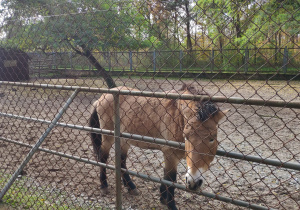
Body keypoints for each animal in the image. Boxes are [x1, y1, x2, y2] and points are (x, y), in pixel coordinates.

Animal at [88, 84, 227, 210]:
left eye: (212, 138)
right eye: (186, 136)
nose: (193, 183)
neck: (177, 116)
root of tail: (102, 97)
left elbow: (166, 176)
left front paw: (162, 198)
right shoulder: (170, 154)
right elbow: (171, 180)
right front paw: (170, 204)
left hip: (123, 140)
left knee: (121, 162)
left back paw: (131, 187)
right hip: (108, 137)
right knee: (103, 157)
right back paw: (104, 186)